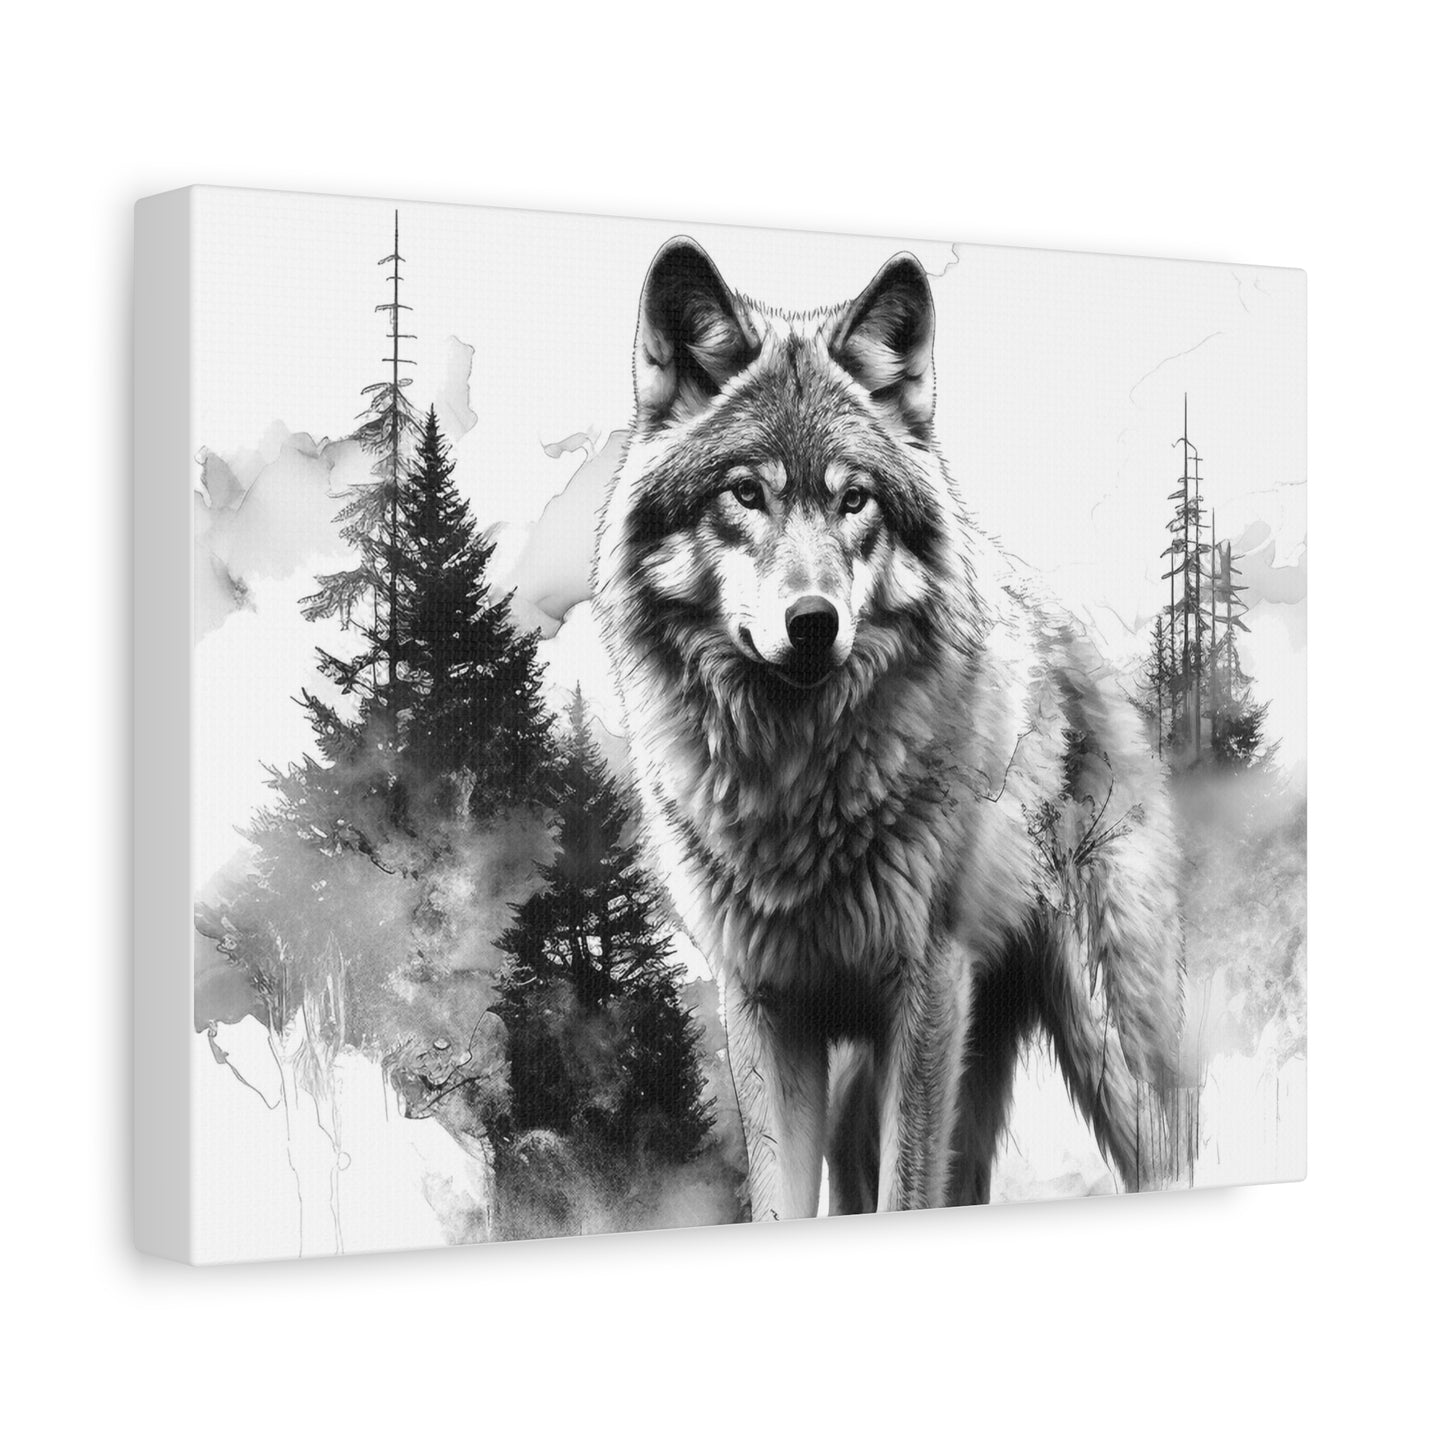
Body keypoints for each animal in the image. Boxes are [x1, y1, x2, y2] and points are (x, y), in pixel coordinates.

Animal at [594, 237, 1185, 1220]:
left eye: (854, 500)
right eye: (744, 493)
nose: (811, 622)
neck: (791, 779)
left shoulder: (927, 985)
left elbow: (906, 1194)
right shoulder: (763, 1007)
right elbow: (780, 1201)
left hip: (1106, 1047)